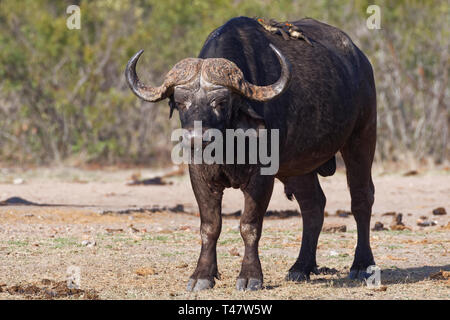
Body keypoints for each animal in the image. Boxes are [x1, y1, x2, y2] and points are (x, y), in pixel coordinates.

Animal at [125, 16, 376, 292]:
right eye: (180, 102)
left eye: (221, 102)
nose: (196, 139)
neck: (228, 145)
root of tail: (360, 60)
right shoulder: (199, 175)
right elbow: (210, 226)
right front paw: (202, 275)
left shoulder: (261, 177)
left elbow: (250, 225)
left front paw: (250, 276)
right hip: (298, 166)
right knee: (313, 205)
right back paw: (301, 267)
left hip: (362, 137)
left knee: (361, 198)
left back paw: (362, 265)